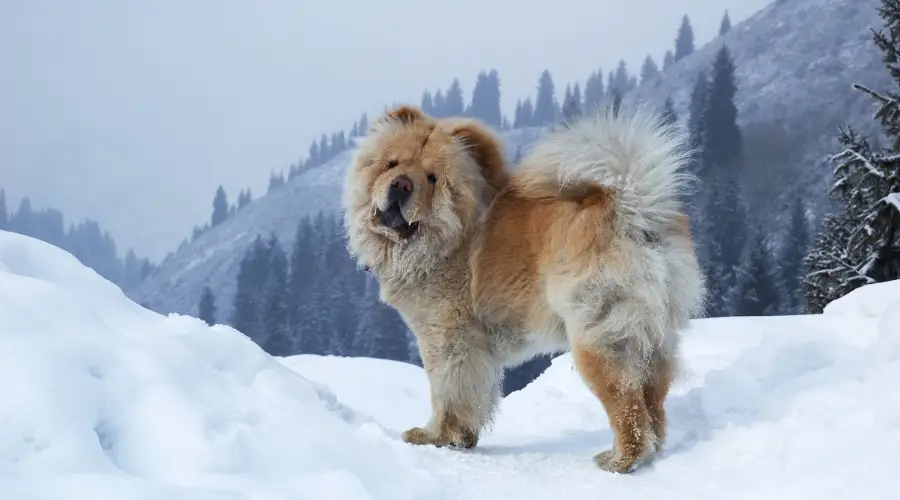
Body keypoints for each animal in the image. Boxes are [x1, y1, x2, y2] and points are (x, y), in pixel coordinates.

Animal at [342, 102, 708, 472]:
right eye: (392, 164)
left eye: (432, 178)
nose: (401, 185)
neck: (448, 236)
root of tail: (633, 208)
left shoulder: (446, 338)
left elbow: (447, 393)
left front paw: (436, 437)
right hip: (655, 340)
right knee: (652, 405)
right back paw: (650, 453)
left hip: (598, 339)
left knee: (627, 406)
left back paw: (619, 460)